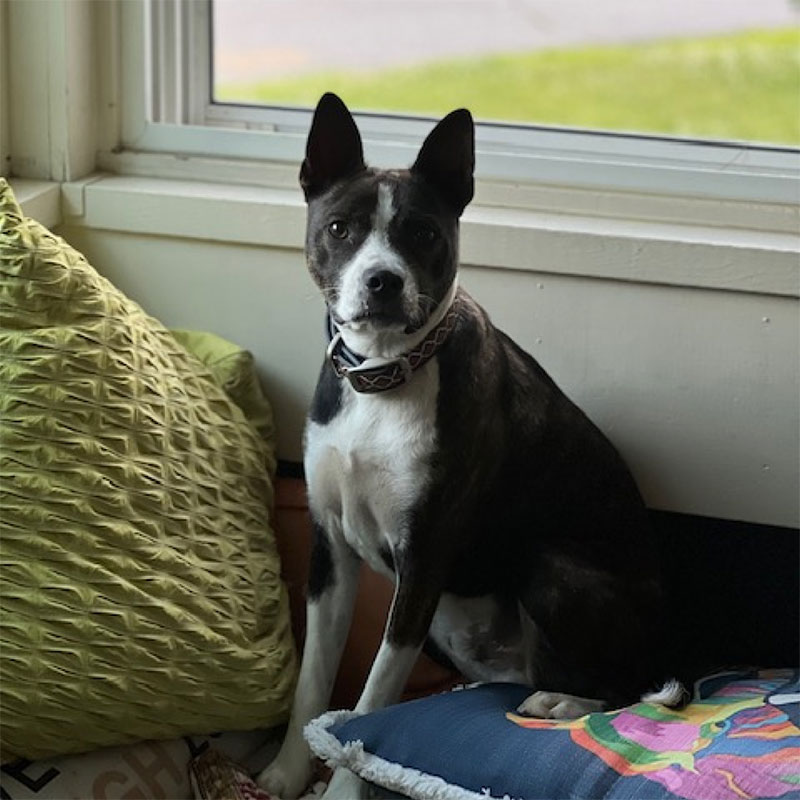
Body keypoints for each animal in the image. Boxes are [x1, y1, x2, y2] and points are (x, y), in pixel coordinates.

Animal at [260, 95, 680, 800]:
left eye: (424, 233)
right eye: (340, 228)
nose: (382, 281)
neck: (384, 380)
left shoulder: (423, 560)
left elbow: (368, 709)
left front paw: (344, 786)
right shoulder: (331, 553)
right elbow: (313, 681)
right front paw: (288, 772)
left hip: (551, 570)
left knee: (629, 687)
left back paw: (563, 703)